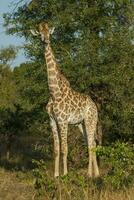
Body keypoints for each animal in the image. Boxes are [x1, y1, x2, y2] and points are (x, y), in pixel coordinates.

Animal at [30, 22, 99, 177]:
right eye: (40, 34)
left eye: (49, 33)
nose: (46, 41)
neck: (54, 93)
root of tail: (95, 106)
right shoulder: (52, 121)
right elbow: (56, 149)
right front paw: (56, 175)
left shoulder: (63, 121)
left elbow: (65, 148)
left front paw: (65, 174)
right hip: (81, 124)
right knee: (91, 144)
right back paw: (96, 174)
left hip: (90, 120)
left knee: (91, 144)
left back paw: (89, 174)